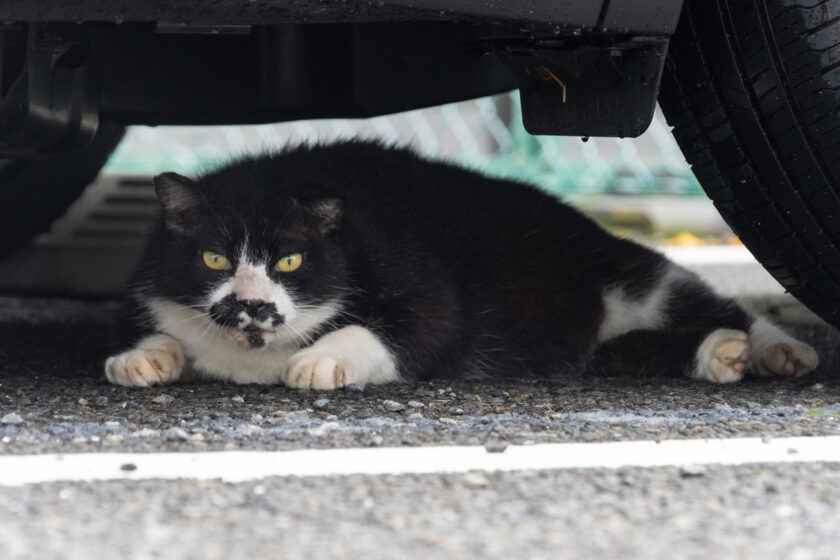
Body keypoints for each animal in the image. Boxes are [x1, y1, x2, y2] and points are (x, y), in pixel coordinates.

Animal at [105, 142, 820, 388]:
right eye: (214, 257)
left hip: (630, 272)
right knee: (629, 352)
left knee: (713, 301)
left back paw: (776, 350)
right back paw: (719, 356)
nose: (252, 305)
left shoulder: (423, 283)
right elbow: (163, 333)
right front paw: (141, 357)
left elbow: (414, 325)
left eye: (289, 258)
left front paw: (320, 359)